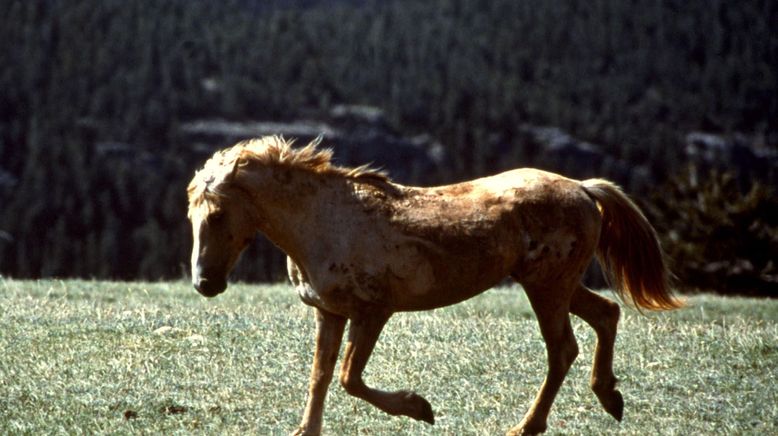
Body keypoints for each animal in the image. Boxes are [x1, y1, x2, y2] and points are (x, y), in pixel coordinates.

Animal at [186, 136, 680, 436]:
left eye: (218, 214)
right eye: (191, 215)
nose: (205, 283)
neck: (324, 224)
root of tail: (583, 187)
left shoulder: (373, 311)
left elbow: (349, 377)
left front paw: (420, 407)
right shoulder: (330, 312)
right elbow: (320, 377)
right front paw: (306, 429)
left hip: (548, 286)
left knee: (562, 349)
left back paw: (527, 426)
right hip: (554, 283)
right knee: (606, 314)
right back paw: (610, 397)